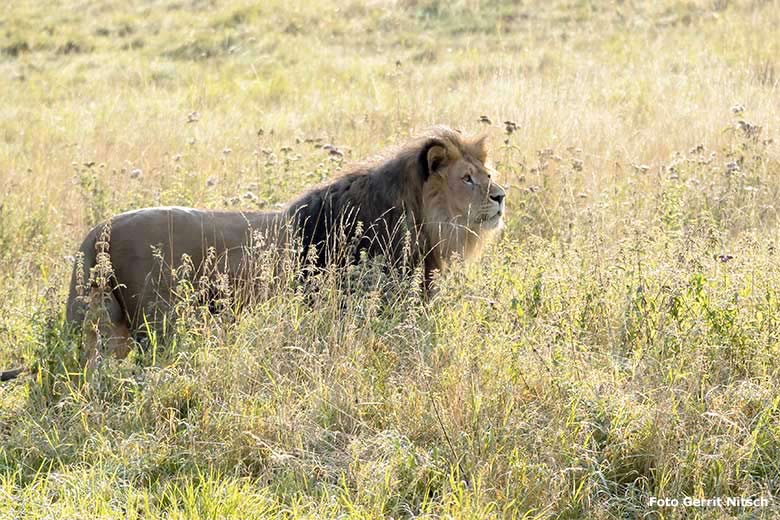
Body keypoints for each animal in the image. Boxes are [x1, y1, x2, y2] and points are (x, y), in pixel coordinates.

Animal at [1, 126, 506, 378]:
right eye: (467, 179)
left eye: (488, 173)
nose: (501, 196)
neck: (421, 219)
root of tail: (97, 231)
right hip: (158, 323)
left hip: (112, 327)